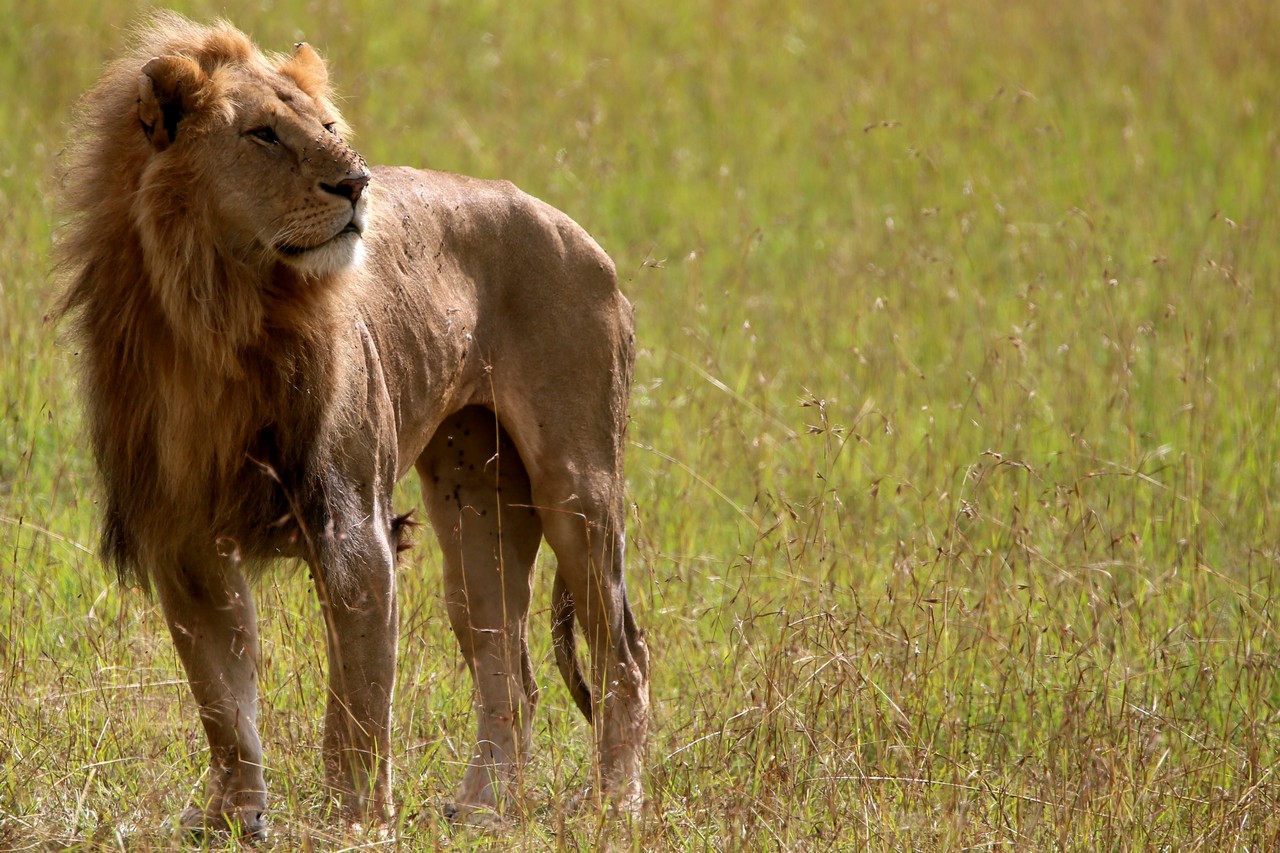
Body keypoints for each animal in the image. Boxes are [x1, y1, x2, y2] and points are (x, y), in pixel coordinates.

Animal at [55, 13, 650, 835]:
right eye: (264, 135)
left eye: (329, 127)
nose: (358, 183)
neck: (222, 318)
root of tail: (579, 231)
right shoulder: (184, 541)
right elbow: (223, 703)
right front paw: (234, 821)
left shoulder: (352, 529)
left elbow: (359, 709)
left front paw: (358, 823)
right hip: (476, 507)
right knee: (510, 672)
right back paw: (484, 806)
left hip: (577, 488)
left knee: (624, 656)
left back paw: (615, 804)